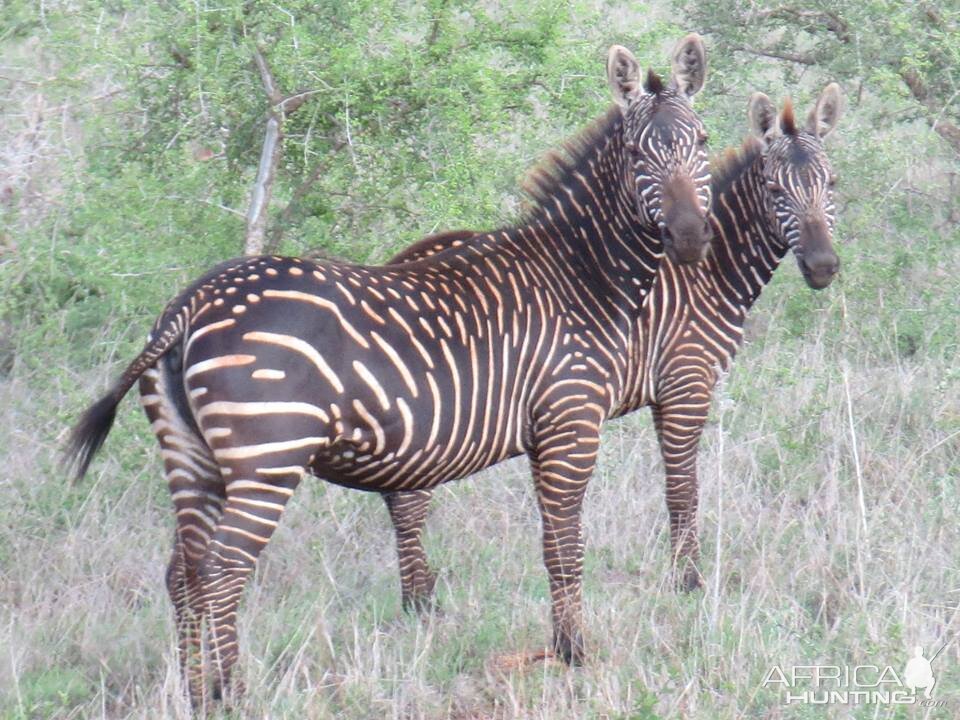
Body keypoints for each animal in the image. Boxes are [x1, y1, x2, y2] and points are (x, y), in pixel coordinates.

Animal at [63, 35, 712, 708]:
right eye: (636, 154)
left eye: (704, 141)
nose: (691, 238)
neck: (580, 275)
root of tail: (191, 303)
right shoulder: (570, 422)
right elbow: (563, 546)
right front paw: (573, 653)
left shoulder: (550, 431)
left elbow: (556, 543)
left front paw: (567, 648)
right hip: (267, 453)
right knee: (222, 571)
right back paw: (234, 693)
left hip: (191, 456)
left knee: (184, 572)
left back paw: (197, 693)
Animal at [380, 83, 840, 600]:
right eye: (775, 191)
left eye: (832, 184)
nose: (823, 266)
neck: (707, 275)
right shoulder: (686, 383)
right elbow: (683, 488)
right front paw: (689, 581)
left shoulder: (663, 392)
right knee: (408, 500)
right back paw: (420, 601)